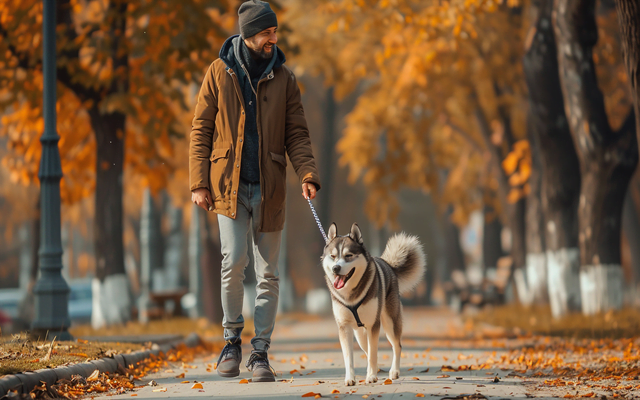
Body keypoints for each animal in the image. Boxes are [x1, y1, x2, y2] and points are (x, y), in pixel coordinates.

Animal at [322, 222, 428, 384]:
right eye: (333, 256)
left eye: (348, 256)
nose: (336, 268)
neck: (350, 295)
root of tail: (388, 265)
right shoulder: (344, 327)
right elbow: (349, 357)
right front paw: (350, 378)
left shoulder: (373, 324)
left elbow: (373, 353)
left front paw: (371, 376)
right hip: (359, 334)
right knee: (366, 348)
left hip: (389, 322)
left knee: (396, 346)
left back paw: (394, 371)